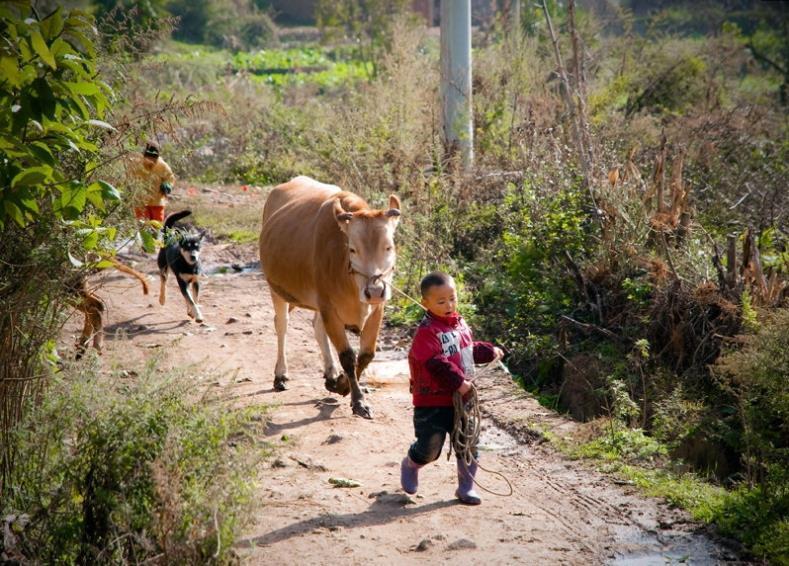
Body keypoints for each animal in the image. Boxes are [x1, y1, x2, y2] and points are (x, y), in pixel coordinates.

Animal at [258, 175, 400, 420]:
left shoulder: (377, 310)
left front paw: (341, 383)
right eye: (352, 249)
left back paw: (331, 373)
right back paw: (281, 375)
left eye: (388, 247)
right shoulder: (329, 308)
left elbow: (366, 355)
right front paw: (357, 400)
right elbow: (348, 357)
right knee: (282, 324)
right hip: (276, 290)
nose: (374, 291)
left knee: (316, 327)